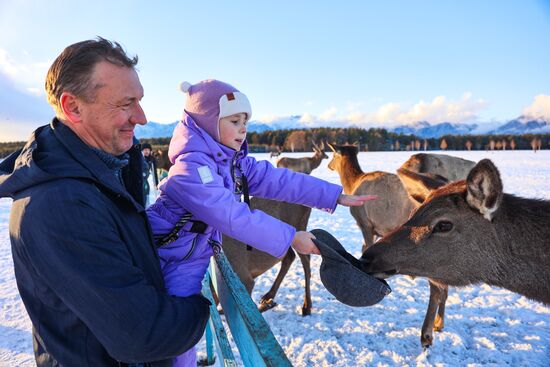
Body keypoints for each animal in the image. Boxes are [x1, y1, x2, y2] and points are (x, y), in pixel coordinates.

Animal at [222, 144, 330, 316]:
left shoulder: (241, 275)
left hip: (300, 224)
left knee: (305, 260)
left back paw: (306, 305)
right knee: (289, 257)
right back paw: (268, 297)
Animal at [328, 143, 478, 348]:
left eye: (332, 155)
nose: (328, 165)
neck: (352, 183)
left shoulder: (366, 223)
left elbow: (365, 247)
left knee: (436, 288)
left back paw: (426, 334)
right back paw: (439, 323)